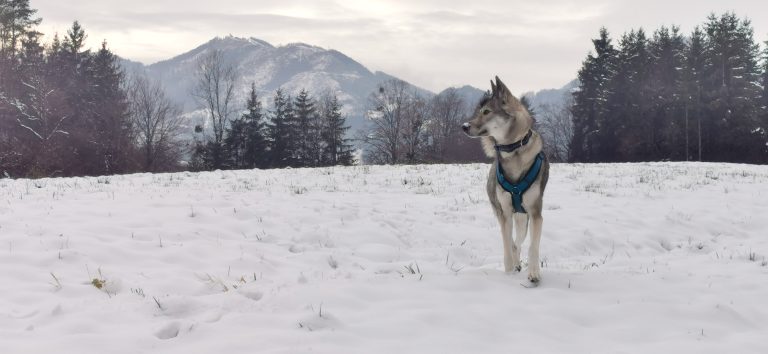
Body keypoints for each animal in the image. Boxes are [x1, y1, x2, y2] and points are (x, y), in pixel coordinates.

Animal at [464, 76, 548, 282]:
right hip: (502, 211)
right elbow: (506, 245)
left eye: (486, 112)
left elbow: (533, 246)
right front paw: (509, 272)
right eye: (479, 111)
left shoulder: (535, 213)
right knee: (512, 242)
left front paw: (533, 273)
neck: (513, 150)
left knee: (518, 241)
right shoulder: (505, 212)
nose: (464, 126)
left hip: (523, 219)